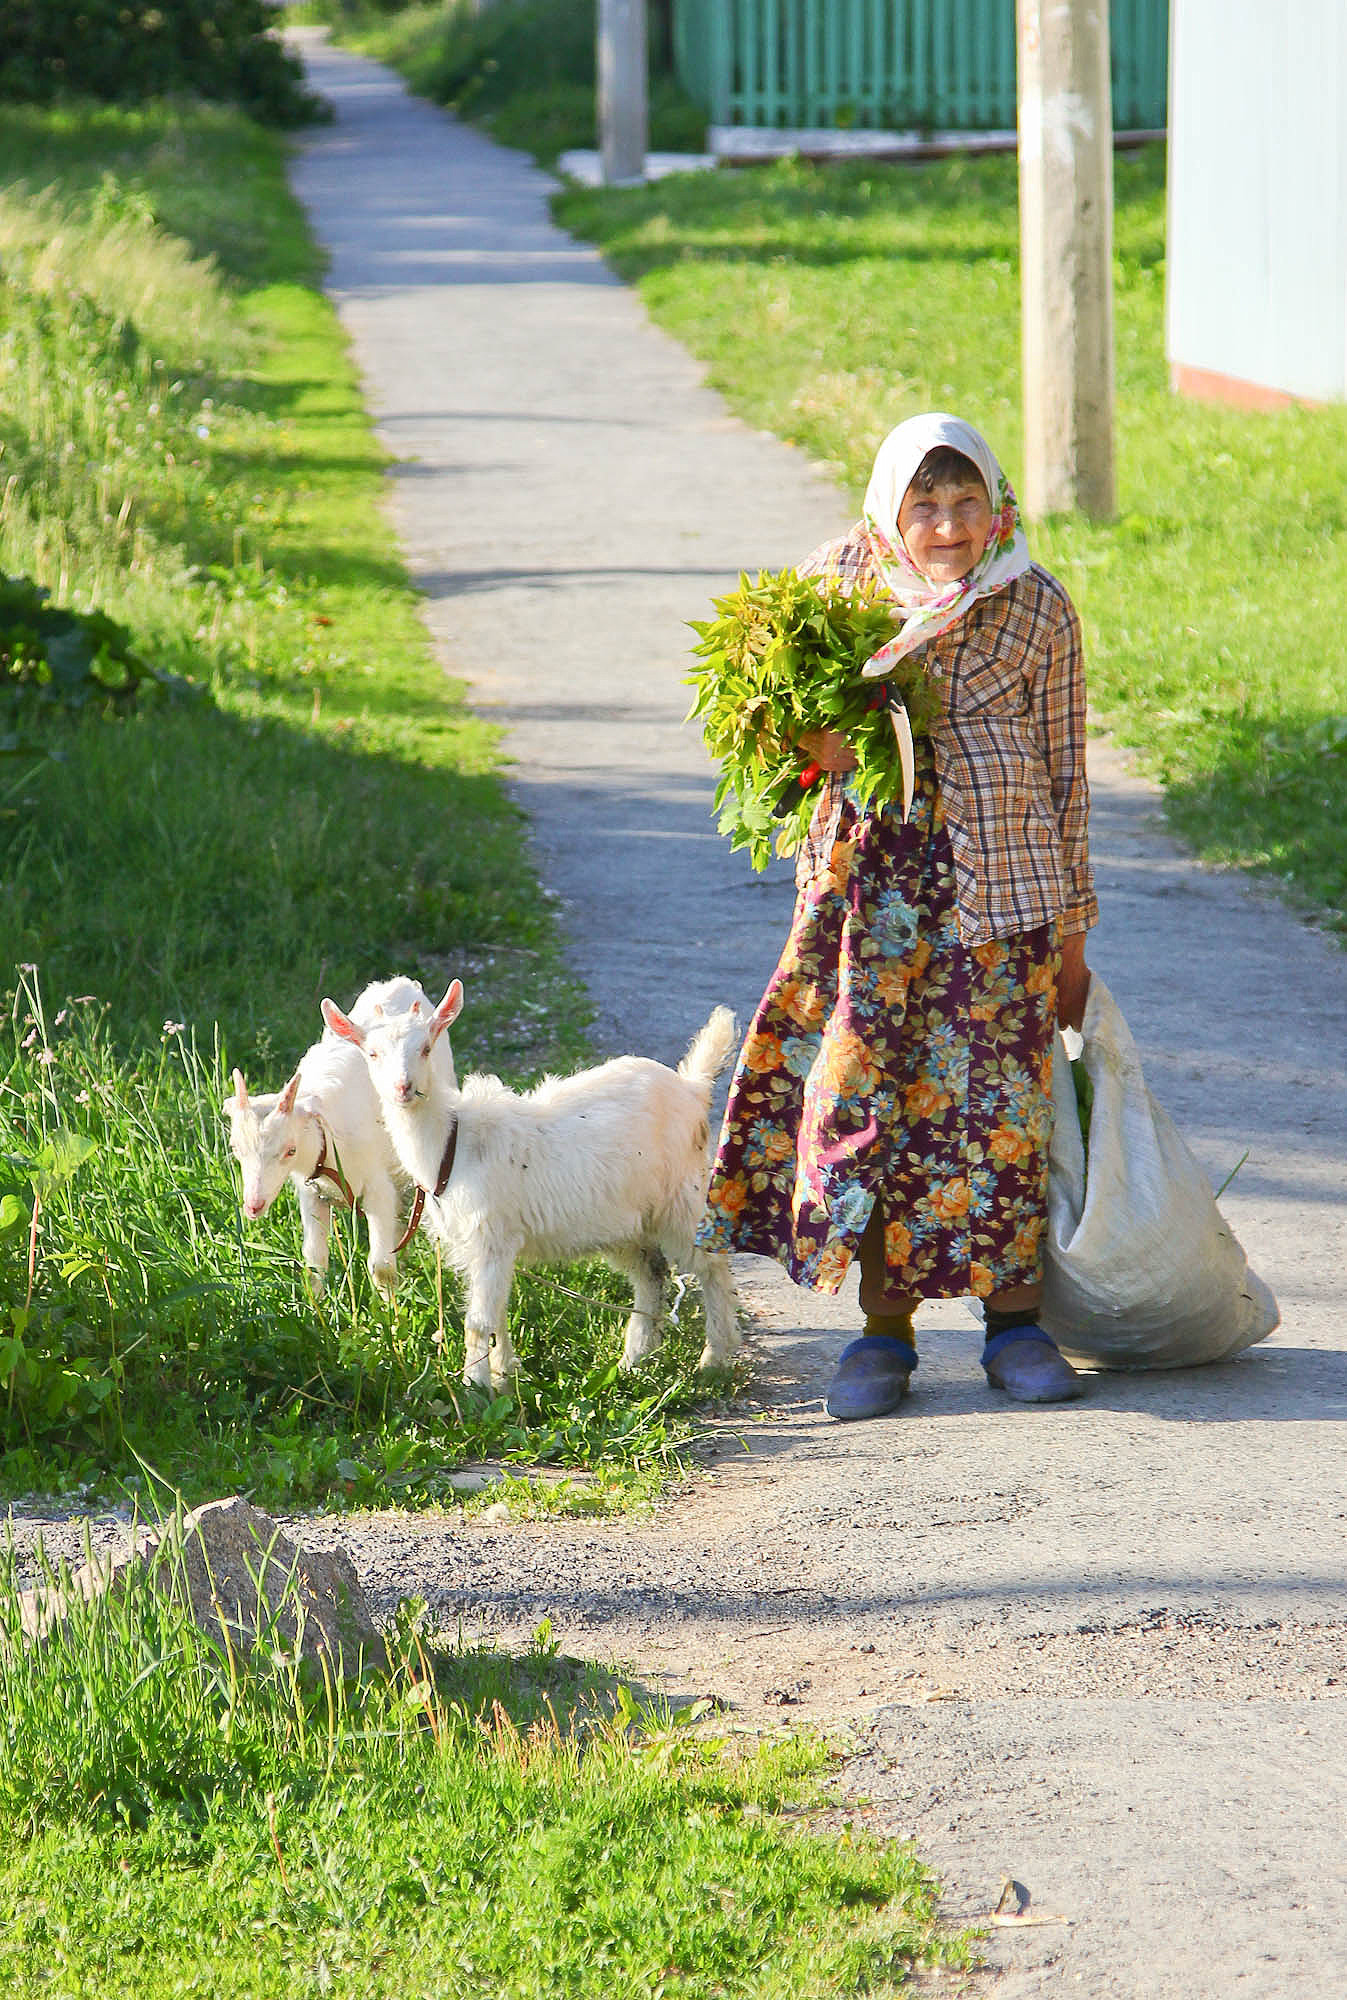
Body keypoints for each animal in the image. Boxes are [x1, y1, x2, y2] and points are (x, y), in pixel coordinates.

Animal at [219, 980, 439, 1296]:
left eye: (290, 1150)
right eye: (236, 1148)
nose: (253, 1206)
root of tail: (398, 982)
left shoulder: (377, 1184)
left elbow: (381, 1265)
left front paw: (391, 1308)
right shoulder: (311, 1192)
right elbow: (314, 1260)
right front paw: (316, 1305)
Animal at [315, 980, 739, 1392]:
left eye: (425, 1048)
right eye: (372, 1054)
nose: (403, 1088)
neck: (452, 1143)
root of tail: (692, 1088)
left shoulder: (491, 1237)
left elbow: (478, 1323)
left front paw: (475, 1389)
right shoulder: (477, 1244)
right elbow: (497, 1315)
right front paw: (503, 1377)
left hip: (682, 1197)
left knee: (712, 1266)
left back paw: (713, 1359)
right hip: (625, 1220)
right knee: (652, 1271)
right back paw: (634, 1359)